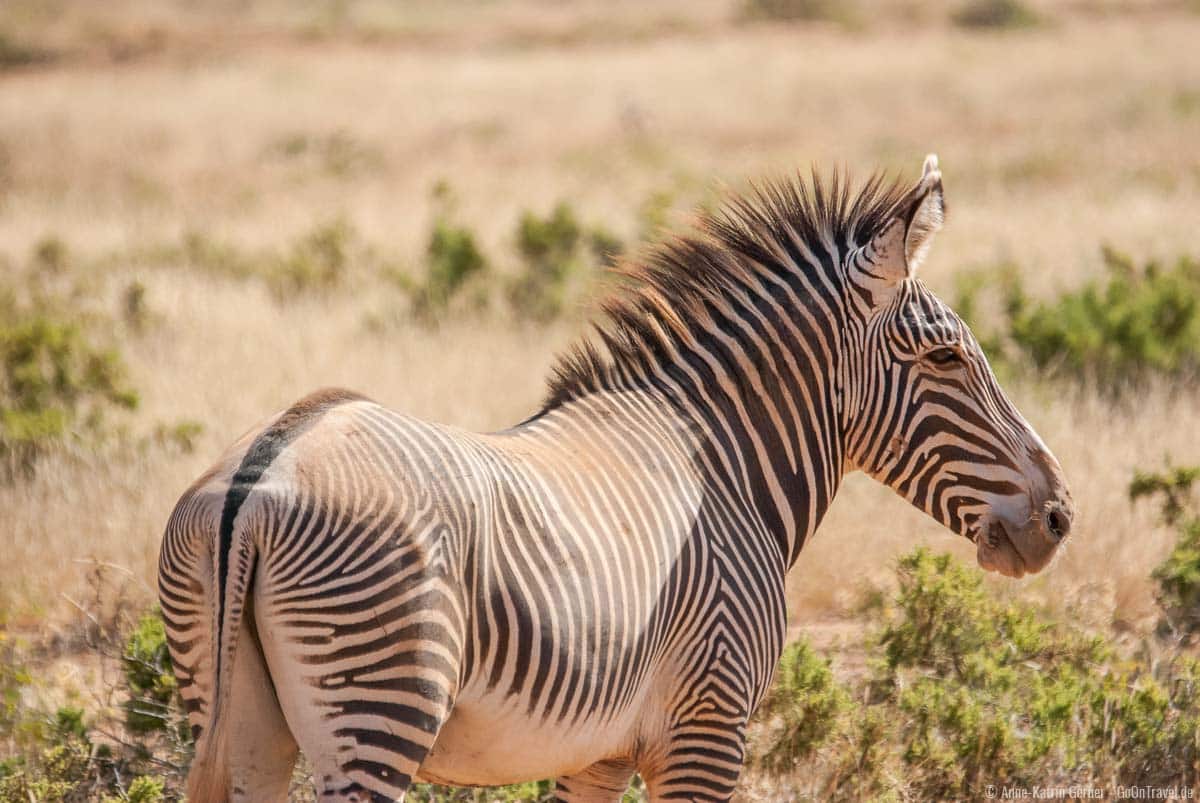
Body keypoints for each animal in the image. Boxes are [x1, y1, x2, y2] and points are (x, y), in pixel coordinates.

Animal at [162, 153, 1080, 796]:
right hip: (378, 707)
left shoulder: (596, 754)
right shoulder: (708, 725)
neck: (723, 463)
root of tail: (263, 468)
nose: (1059, 516)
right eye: (946, 357)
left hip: (242, 722)